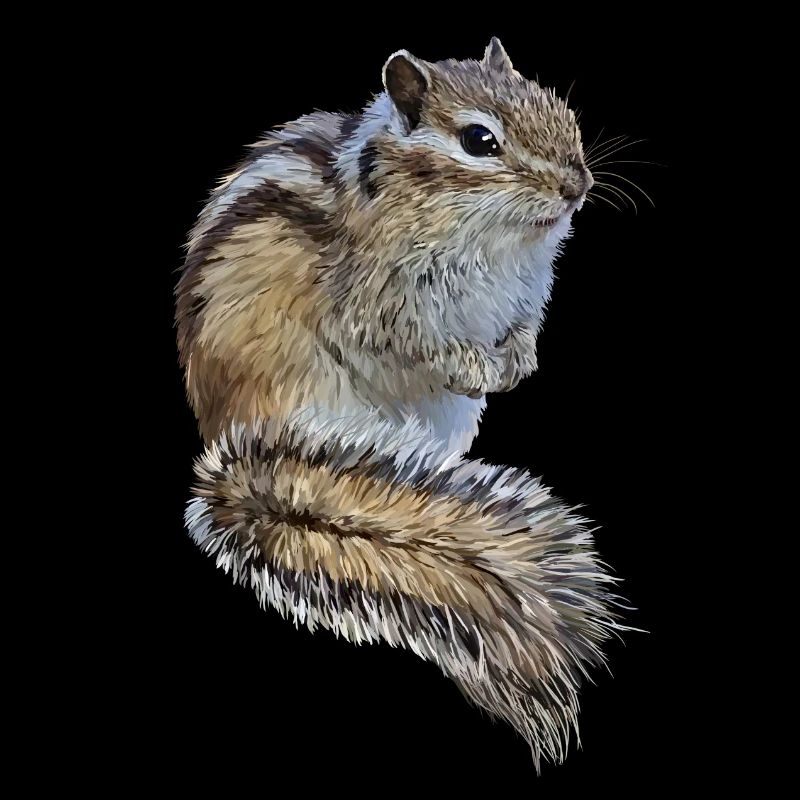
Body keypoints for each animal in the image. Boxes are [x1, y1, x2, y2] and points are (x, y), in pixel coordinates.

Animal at [176, 38, 623, 769]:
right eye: (478, 140)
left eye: (558, 107)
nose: (577, 187)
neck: (491, 239)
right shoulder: (379, 302)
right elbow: (408, 342)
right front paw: (477, 366)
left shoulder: (527, 293)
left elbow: (522, 328)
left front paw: (519, 359)